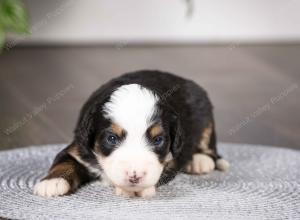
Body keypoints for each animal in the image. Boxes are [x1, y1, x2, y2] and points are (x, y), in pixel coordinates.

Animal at [33, 70, 230, 198]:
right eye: (111, 138)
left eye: (158, 140)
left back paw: (199, 161)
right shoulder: (78, 149)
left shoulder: (171, 160)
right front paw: (52, 183)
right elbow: (63, 162)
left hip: (205, 114)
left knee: (208, 145)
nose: (135, 176)